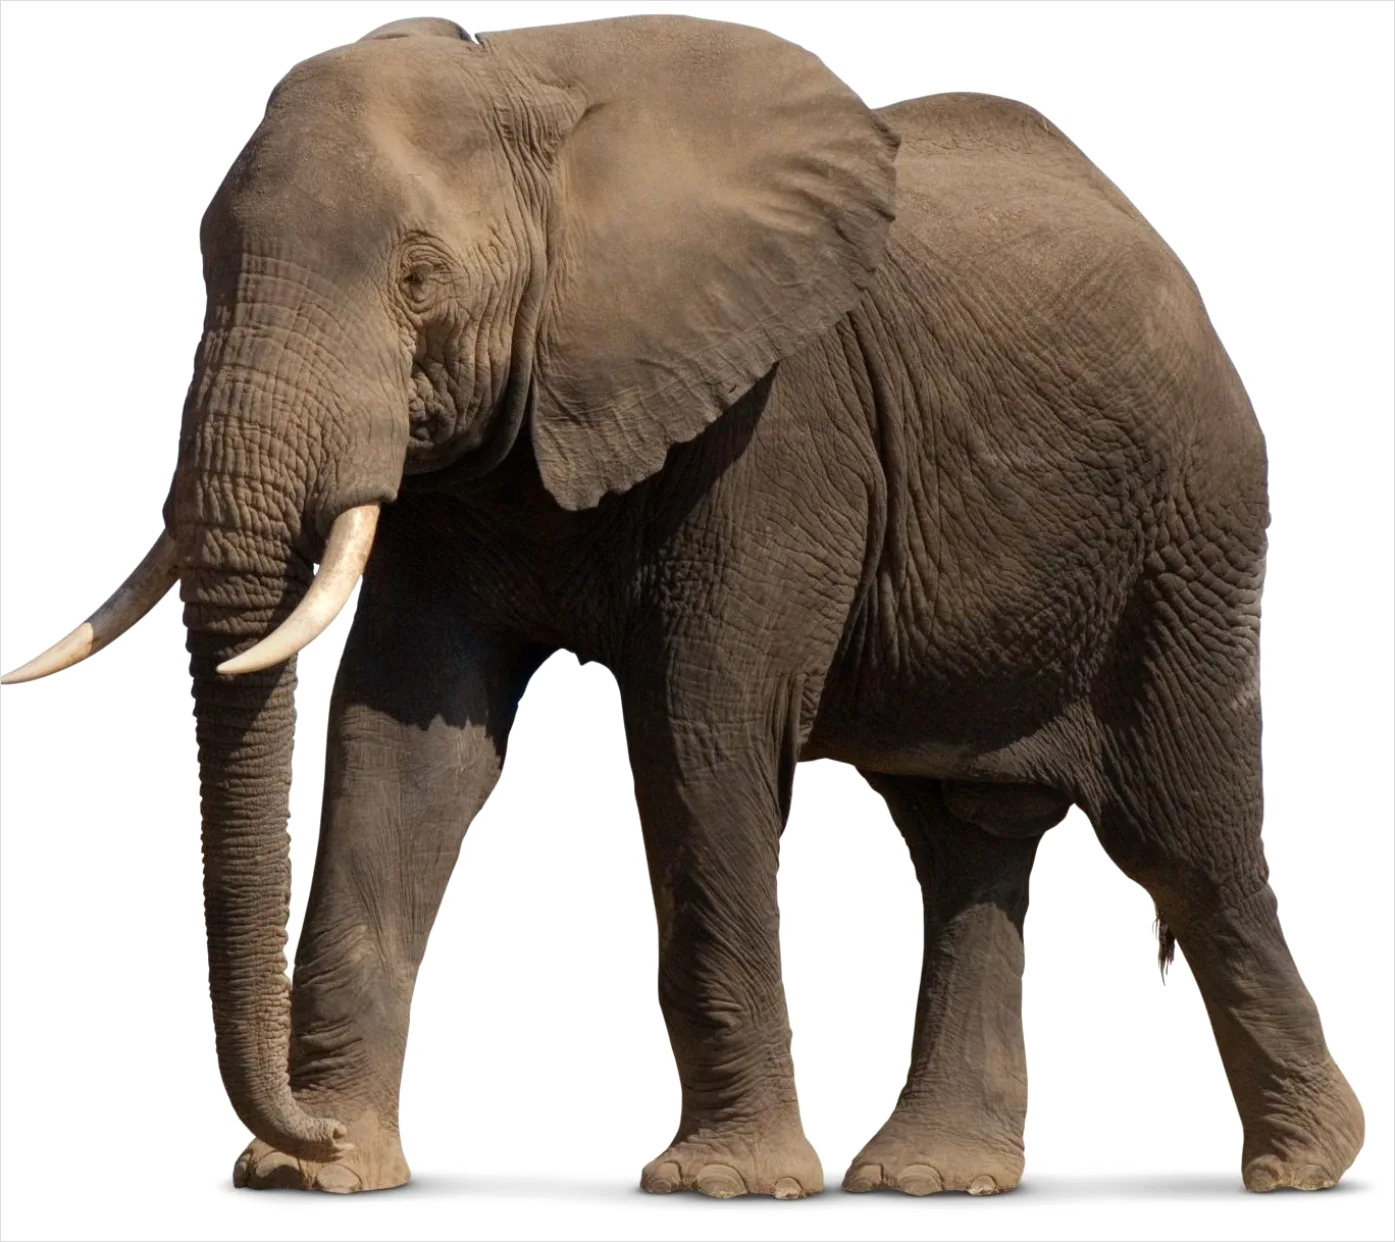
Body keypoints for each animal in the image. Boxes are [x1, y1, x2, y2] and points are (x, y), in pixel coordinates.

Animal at [4, 13, 1363, 1200]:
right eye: (208, 262)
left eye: (419, 280)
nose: (300, 1130)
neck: (529, 85)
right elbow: (406, 744)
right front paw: (322, 1177)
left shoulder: (780, 422)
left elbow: (699, 730)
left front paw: (727, 1188)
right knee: (963, 836)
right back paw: (932, 1178)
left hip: (1187, 532)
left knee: (1185, 832)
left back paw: (1301, 1169)